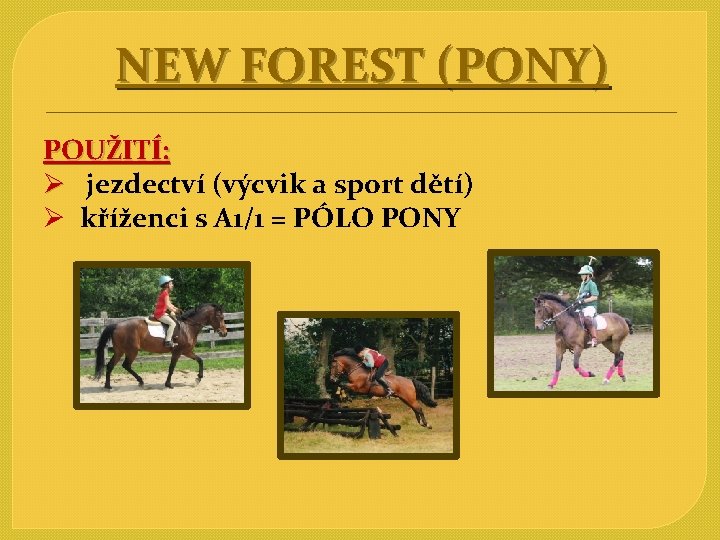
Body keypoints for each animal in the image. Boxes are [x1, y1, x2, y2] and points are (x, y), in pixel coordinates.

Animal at [94, 303, 228, 390]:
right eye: (220, 317)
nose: (224, 333)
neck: (188, 327)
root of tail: (116, 325)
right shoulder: (177, 352)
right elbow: (171, 368)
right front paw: (168, 384)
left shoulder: (187, 351)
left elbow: (200, 360)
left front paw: (198, 378)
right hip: (132, 351)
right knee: (126, 365)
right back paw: (140, 381)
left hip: (119, 351)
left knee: (110, 365)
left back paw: (108, 385)